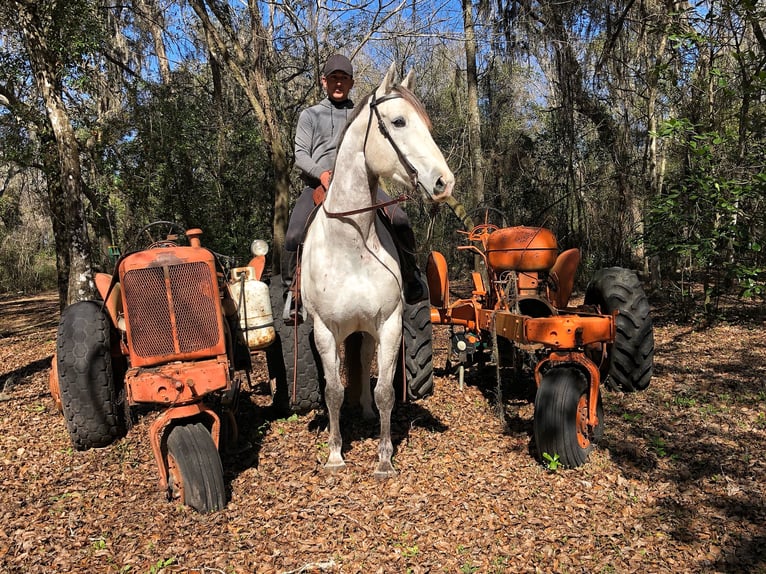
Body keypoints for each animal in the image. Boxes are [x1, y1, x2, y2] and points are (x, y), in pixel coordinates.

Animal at [300, 63, 456, 480]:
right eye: (399, 121)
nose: (444, 182)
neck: (353, 243)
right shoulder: (325, 330)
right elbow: (333, 391)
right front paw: (335, 454)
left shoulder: (389, 324)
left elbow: (385, 390)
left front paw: (385, 457)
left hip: (367, 330)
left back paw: (367, 412)